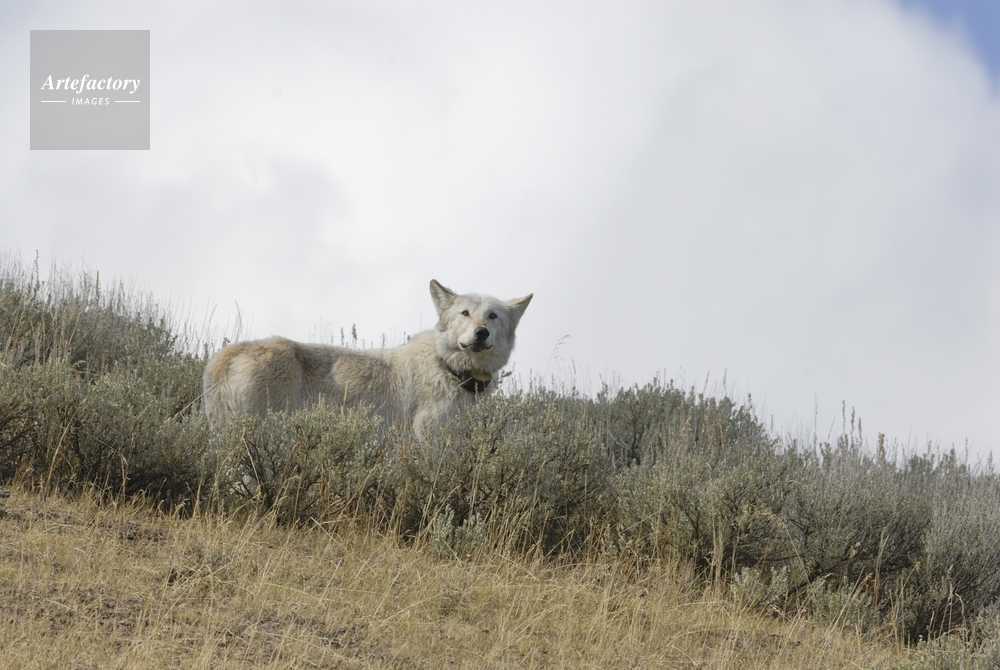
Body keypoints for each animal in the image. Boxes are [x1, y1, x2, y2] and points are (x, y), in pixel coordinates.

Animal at [203, 280, 532, 439]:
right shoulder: (428, 436)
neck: (447, 367)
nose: (481, 333)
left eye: (492, 316)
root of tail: (229, 353)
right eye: (465, 313)